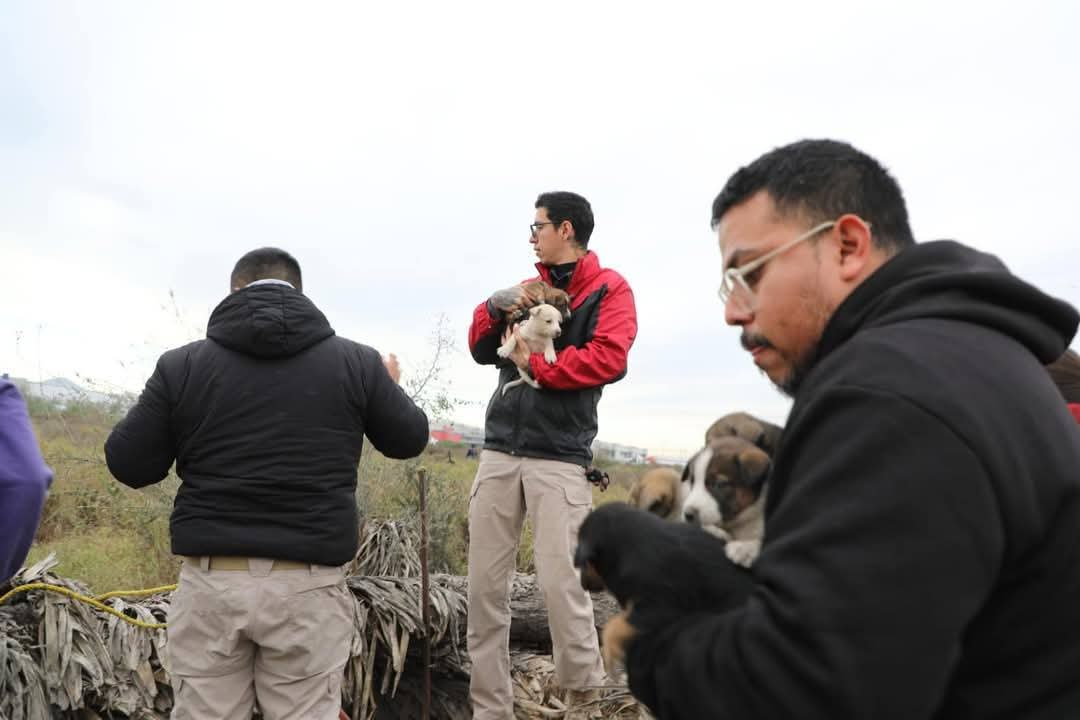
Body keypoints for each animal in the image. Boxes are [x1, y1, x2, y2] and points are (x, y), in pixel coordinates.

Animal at [682, 433, 768, 569]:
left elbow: (756, 538)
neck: (734, 523)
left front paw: (745, 548)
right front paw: (716, 531)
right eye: (692, 482)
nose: (688, 514)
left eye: (720, 484)